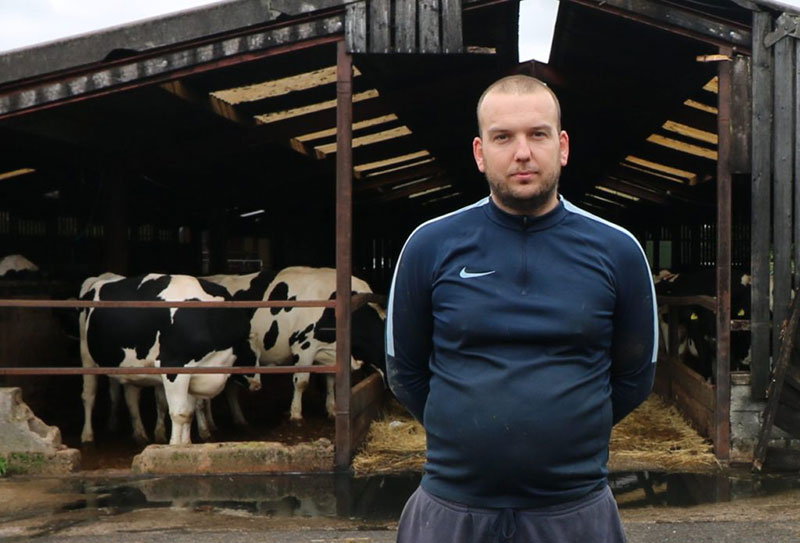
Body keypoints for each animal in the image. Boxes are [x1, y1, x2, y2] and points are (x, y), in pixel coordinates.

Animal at [79, 273, 259, 445]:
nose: (257, 385)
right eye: (251, 354)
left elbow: (189, 413)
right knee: (89, 395)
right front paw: (175, 446)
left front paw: (186, 444)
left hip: (129, 365)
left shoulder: (193, 374)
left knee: (131, 398)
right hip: (86, 356)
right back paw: (87, 436)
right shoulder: (173, 367)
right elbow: (180, 413)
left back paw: (140, 435)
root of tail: (101, 279)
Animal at [204, 266, 386, 422]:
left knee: (230, 388)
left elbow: (331, 381)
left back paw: (239, 420)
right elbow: (301, 382)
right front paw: (296, 414)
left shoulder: (330, 352)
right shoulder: (304, 345)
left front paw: (332, 410)